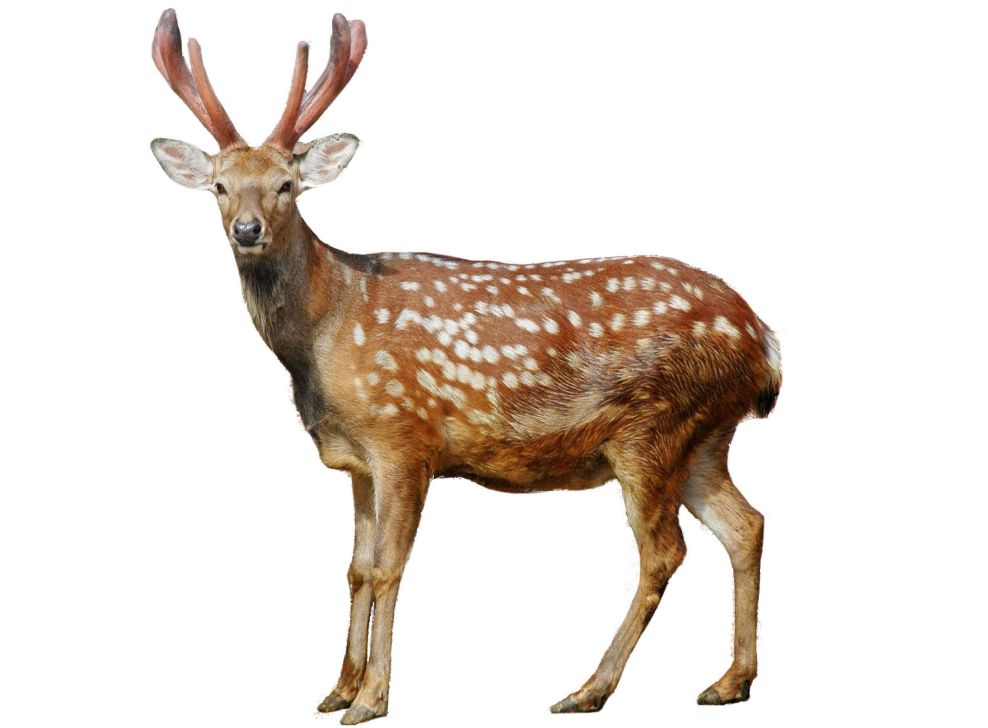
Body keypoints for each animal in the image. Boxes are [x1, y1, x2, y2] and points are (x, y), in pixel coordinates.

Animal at [149, 8, 782, 724]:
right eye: (219, 186)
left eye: (287, 185)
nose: (248, 229)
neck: (327, 327)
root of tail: (764, 340)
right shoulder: (358, 458)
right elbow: (355, 568)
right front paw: (336, 687)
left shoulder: (405, 437)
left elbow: (390, 566)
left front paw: (371, 698)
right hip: (704, 439)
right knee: (746, 525)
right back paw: (730, 680)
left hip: (652, 428)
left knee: (663, 553)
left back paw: (589, 688)